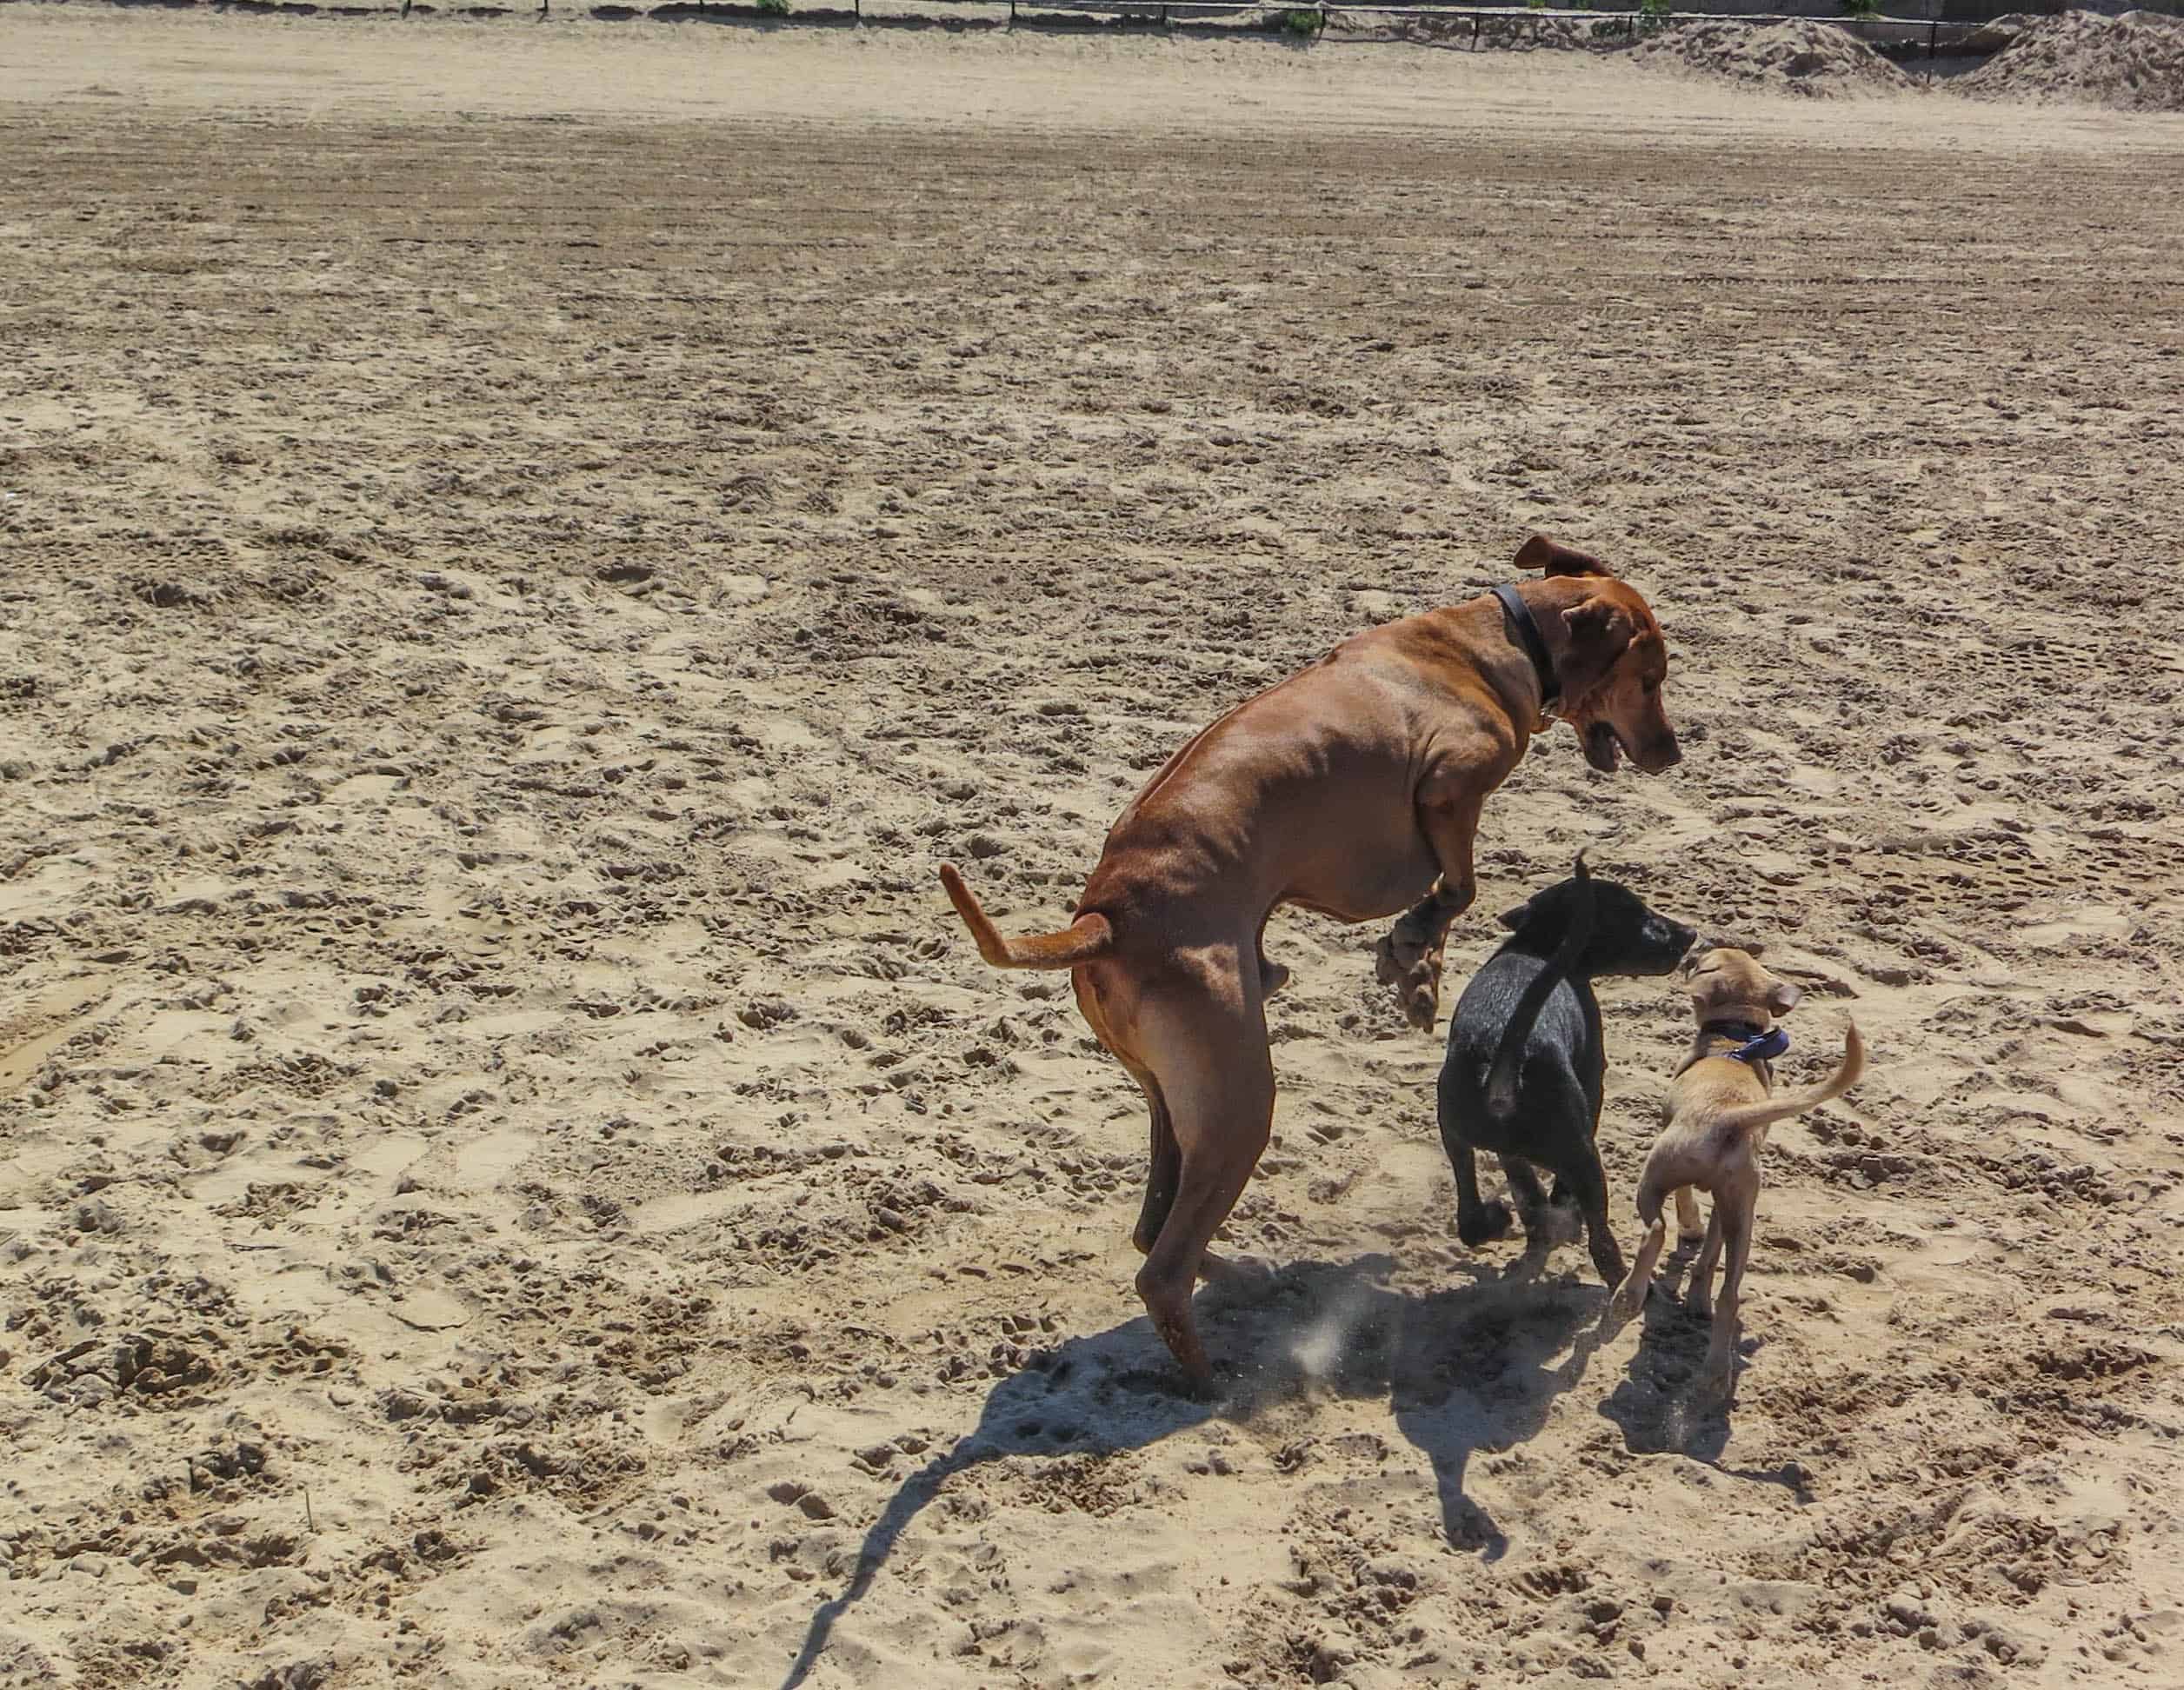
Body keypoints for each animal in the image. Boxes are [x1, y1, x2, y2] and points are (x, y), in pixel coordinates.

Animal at [1441, 860, 1695, 1283]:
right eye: (1636, 913)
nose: (1690, 934)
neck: (1539, 944)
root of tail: (1502, 1057)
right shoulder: (1593, 1085)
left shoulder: (1510, 1153)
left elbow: (1524, 1186)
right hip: (1584, 1157)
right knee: (1602, 1245)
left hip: (1454, 1138)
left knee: (1470, 1218)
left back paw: (1500, 1220)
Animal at [1615, 952, 1869, 1406]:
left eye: (1703, 963)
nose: (1689, 954)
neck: (1735, 1040)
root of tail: (1726, 1116)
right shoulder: (1725, 1205)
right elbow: (1706, 1258)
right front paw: (1696, 1296)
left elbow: (1687, 1212)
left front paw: (1690, 1230)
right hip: (1742, 1213)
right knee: (1729, 1294)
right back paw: (1716, 1374)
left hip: (1652, 1178)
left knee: (1655, 1230)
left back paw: (1628, 1296)